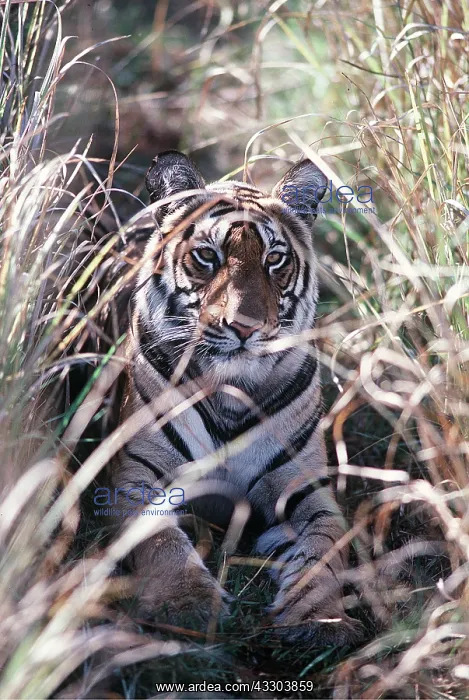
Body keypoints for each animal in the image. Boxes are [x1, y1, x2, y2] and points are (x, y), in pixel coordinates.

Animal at [109, 150, 362, 645]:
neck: (231, 390)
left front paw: (320, 620)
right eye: (208, 256)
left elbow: (326, 547)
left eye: (274, 259)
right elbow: (158, 539)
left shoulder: (303, 486)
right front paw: (185, 604)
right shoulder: (135, 474)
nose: (244, 327)